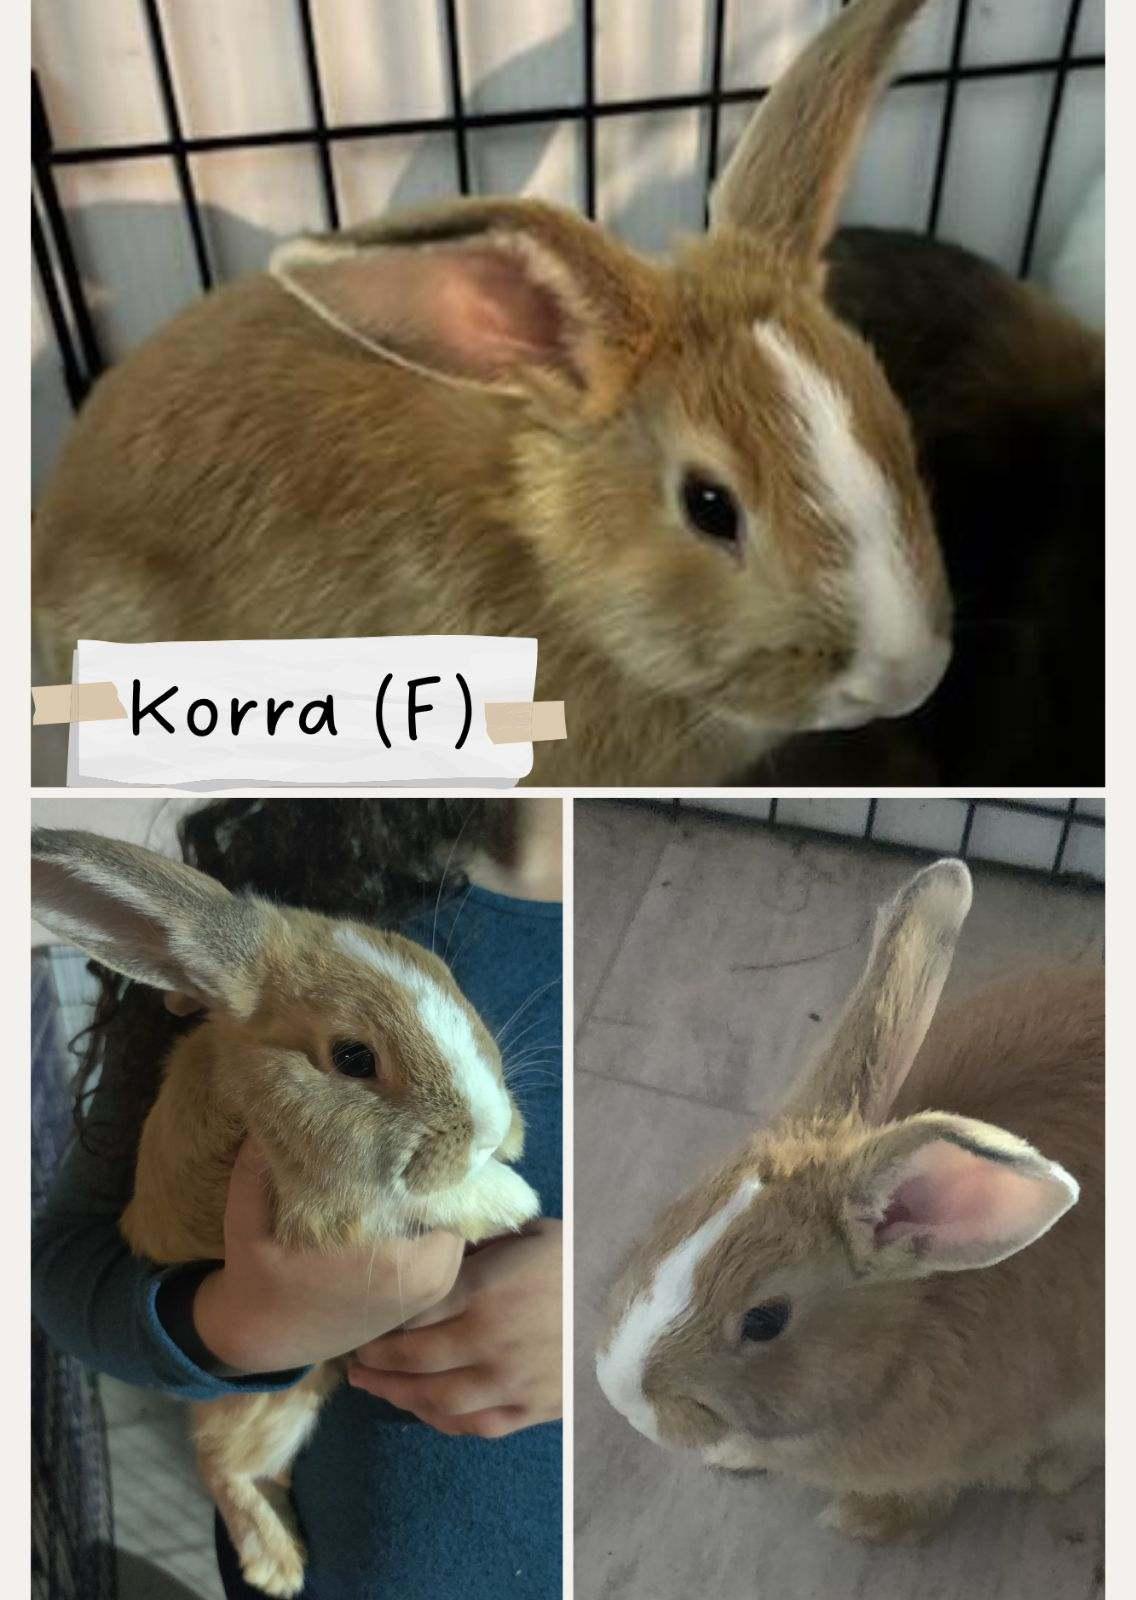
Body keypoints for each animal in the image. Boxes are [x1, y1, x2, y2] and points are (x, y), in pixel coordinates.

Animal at [31, 827, 541, 1597]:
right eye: (353, 1057)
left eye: (447, 979)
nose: (487, 1128)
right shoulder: (325, 1206)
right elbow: (428, 1196)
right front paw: (513, 1196)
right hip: (275, 1400)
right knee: (222, 1466)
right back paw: (278, 1565)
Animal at [596, 859, 1103, 1544]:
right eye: (673, 1215)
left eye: (765, 1320)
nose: (625, 1400)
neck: (903, 1338)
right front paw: (734, 1458)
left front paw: (860, 1520)